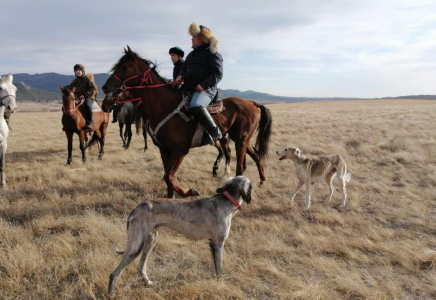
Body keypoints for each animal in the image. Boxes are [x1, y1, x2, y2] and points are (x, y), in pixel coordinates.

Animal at [102, 46, 272, 197]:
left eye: (124, 66)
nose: (105, 88)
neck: (164, 106)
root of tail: (252, 103)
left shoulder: (180, 150)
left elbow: (169, 177)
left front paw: (189, 192)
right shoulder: (164, 150)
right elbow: (167, 178)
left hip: (239, 140)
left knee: (240, 167)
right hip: (242, 139)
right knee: (255, 156)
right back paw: (262, 180)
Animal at [108, 176, 252, 296]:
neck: (226, 201)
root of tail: (136, 208)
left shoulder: (212, 244)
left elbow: (215, 266)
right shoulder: (218, 243)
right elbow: (219, 269)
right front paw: (220, 284)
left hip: (151, 239)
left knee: (140, 266)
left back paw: (148, 283)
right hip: (136, 246)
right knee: (114, 274)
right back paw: (111, 294)